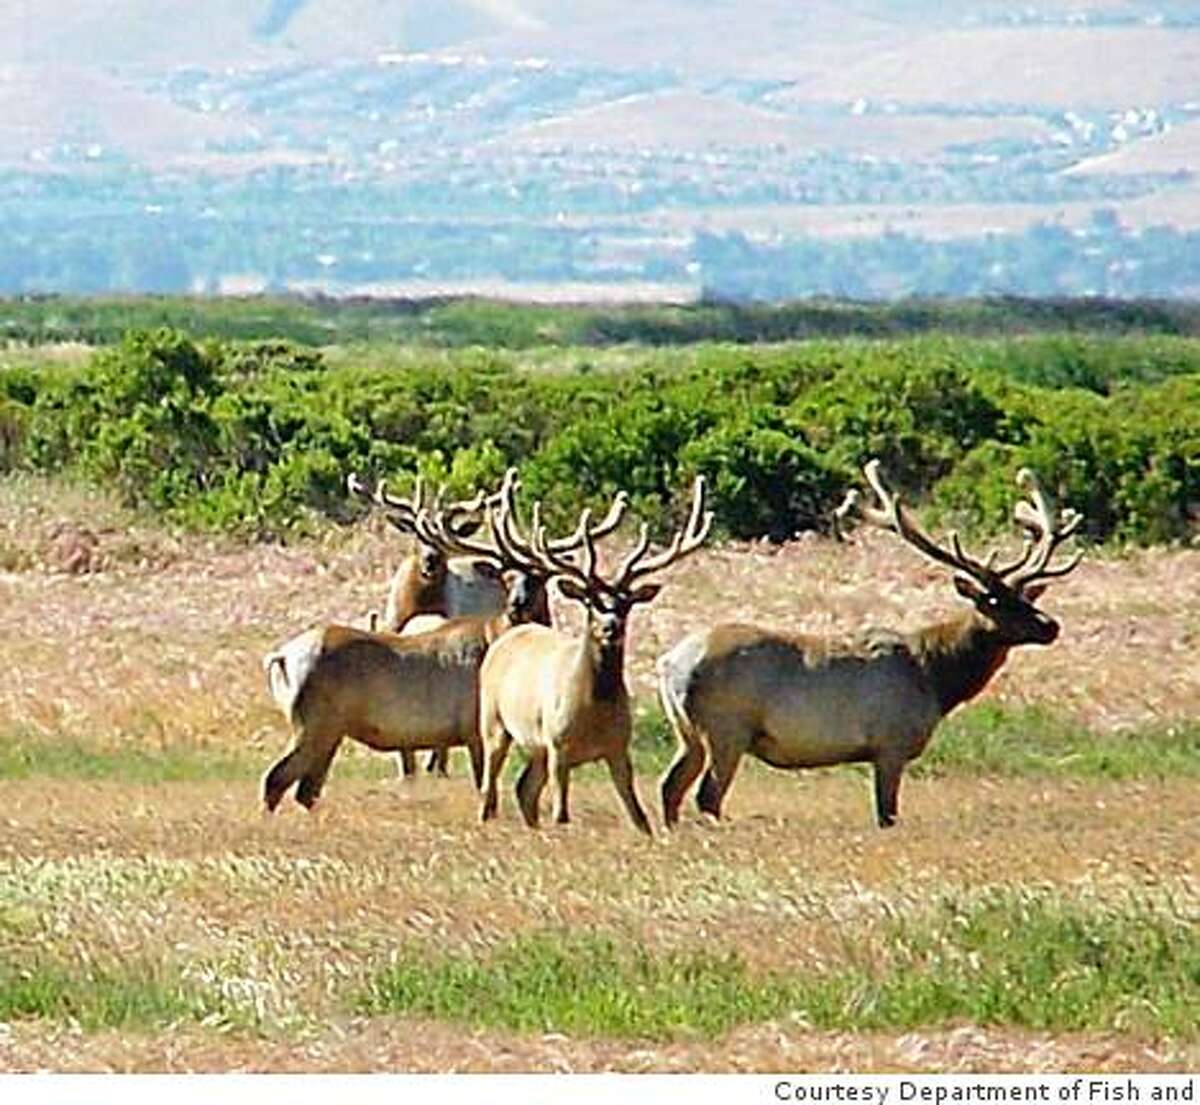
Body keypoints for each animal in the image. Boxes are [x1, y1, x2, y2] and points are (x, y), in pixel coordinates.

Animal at [262, 467, 628, 811]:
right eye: (507, 576)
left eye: (542, 578)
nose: (517, 604)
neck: (495, 641)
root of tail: (280, 657)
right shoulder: (474, 727)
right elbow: (483, 784)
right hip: (313, 723)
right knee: (276, 778)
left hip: (329, 730)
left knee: (305, 789)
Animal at [475, 477, 705, 830]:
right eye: (589, 601)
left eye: (627, 604)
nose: (611, 627)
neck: (592, 709)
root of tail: (507, 637)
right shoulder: (558, 745)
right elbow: (561, 814)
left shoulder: (618, 748)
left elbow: (638, 815)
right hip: (494, 722)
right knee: (489, 787)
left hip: (536, 746)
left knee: (524, 789)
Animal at [662, 455, 1084, 825]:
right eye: (997, 602)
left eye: (1028, 598)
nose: (1051, 626)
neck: (937, 678)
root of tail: (669, 666)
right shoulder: (890, 745)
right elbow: (887, 814)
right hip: (725, 729)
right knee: (706, 795)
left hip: (688, 733)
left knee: (670, 787)